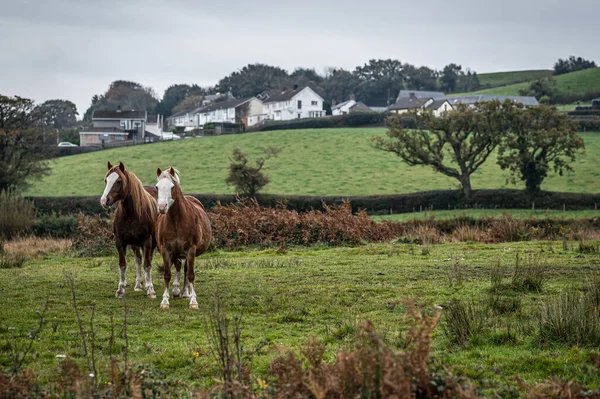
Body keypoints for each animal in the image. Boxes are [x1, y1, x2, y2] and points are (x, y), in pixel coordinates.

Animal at [101, 161, 158, 298]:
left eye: (118, 181)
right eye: (106, 180)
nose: (104, 200)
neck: (131, 214)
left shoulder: (147, 241)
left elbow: (147, 265)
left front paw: (150, 289)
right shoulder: (120, 242)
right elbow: (122, 265)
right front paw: (120, 290)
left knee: (148, 260)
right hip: (134, 244)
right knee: (138, 259)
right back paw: (138, 285)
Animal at [155, 167, 211, 310]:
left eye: (172, 187)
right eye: (157, 187)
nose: (162, 207)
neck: (176, 220)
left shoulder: (191, 250)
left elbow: (190, 274)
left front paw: (193, 301)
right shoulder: (166, 250)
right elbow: (167, 274)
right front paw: (165, 301)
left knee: (185, 269)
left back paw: (186, 293)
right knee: (179, 265)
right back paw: (176, 291)